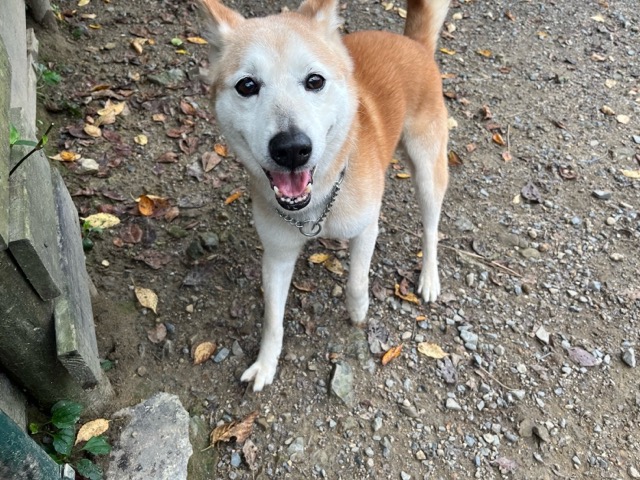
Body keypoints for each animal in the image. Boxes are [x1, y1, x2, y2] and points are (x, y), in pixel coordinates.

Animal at [200, 0, 450, 391]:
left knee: (430, 227)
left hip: (427, 170)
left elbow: (357, 281)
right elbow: (273, 319)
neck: (317, 204)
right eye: (247, 85)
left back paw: (428, 278)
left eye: (314, 81)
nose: (291, 149)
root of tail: (412, 43)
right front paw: (266, 363)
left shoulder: (366, 229)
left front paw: (358, 311)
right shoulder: (277, 254)